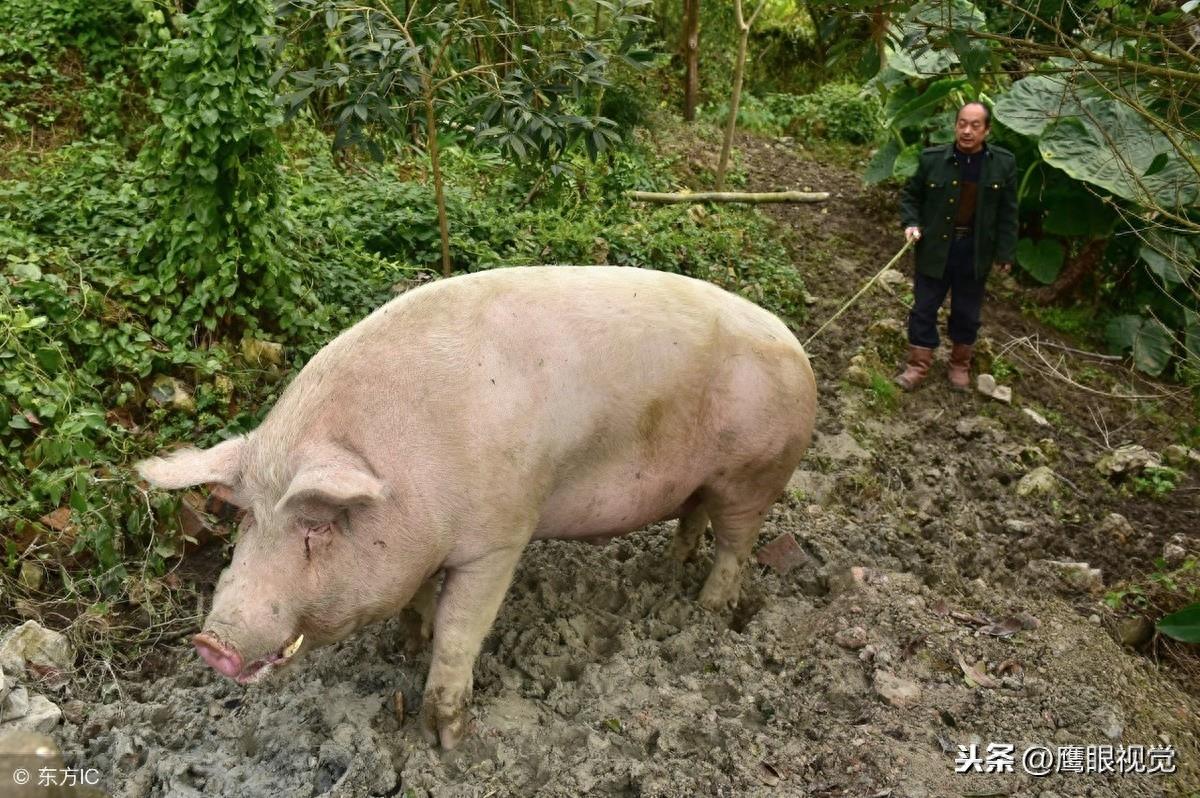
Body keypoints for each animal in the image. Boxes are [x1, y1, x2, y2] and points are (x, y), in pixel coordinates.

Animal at [138, 266, 816, 748]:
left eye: (316, 526)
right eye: (248, 519)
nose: (212, 642)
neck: (405, 472)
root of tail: (793, 340)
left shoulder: (499, 539)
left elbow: (461, 631)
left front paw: (445, 740)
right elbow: (414, 602)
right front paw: (406, 647)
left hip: (754, 475)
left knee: (736, 546)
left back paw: (706, 611)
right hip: (706, 482)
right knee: (694, 520)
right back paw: (671, 571)